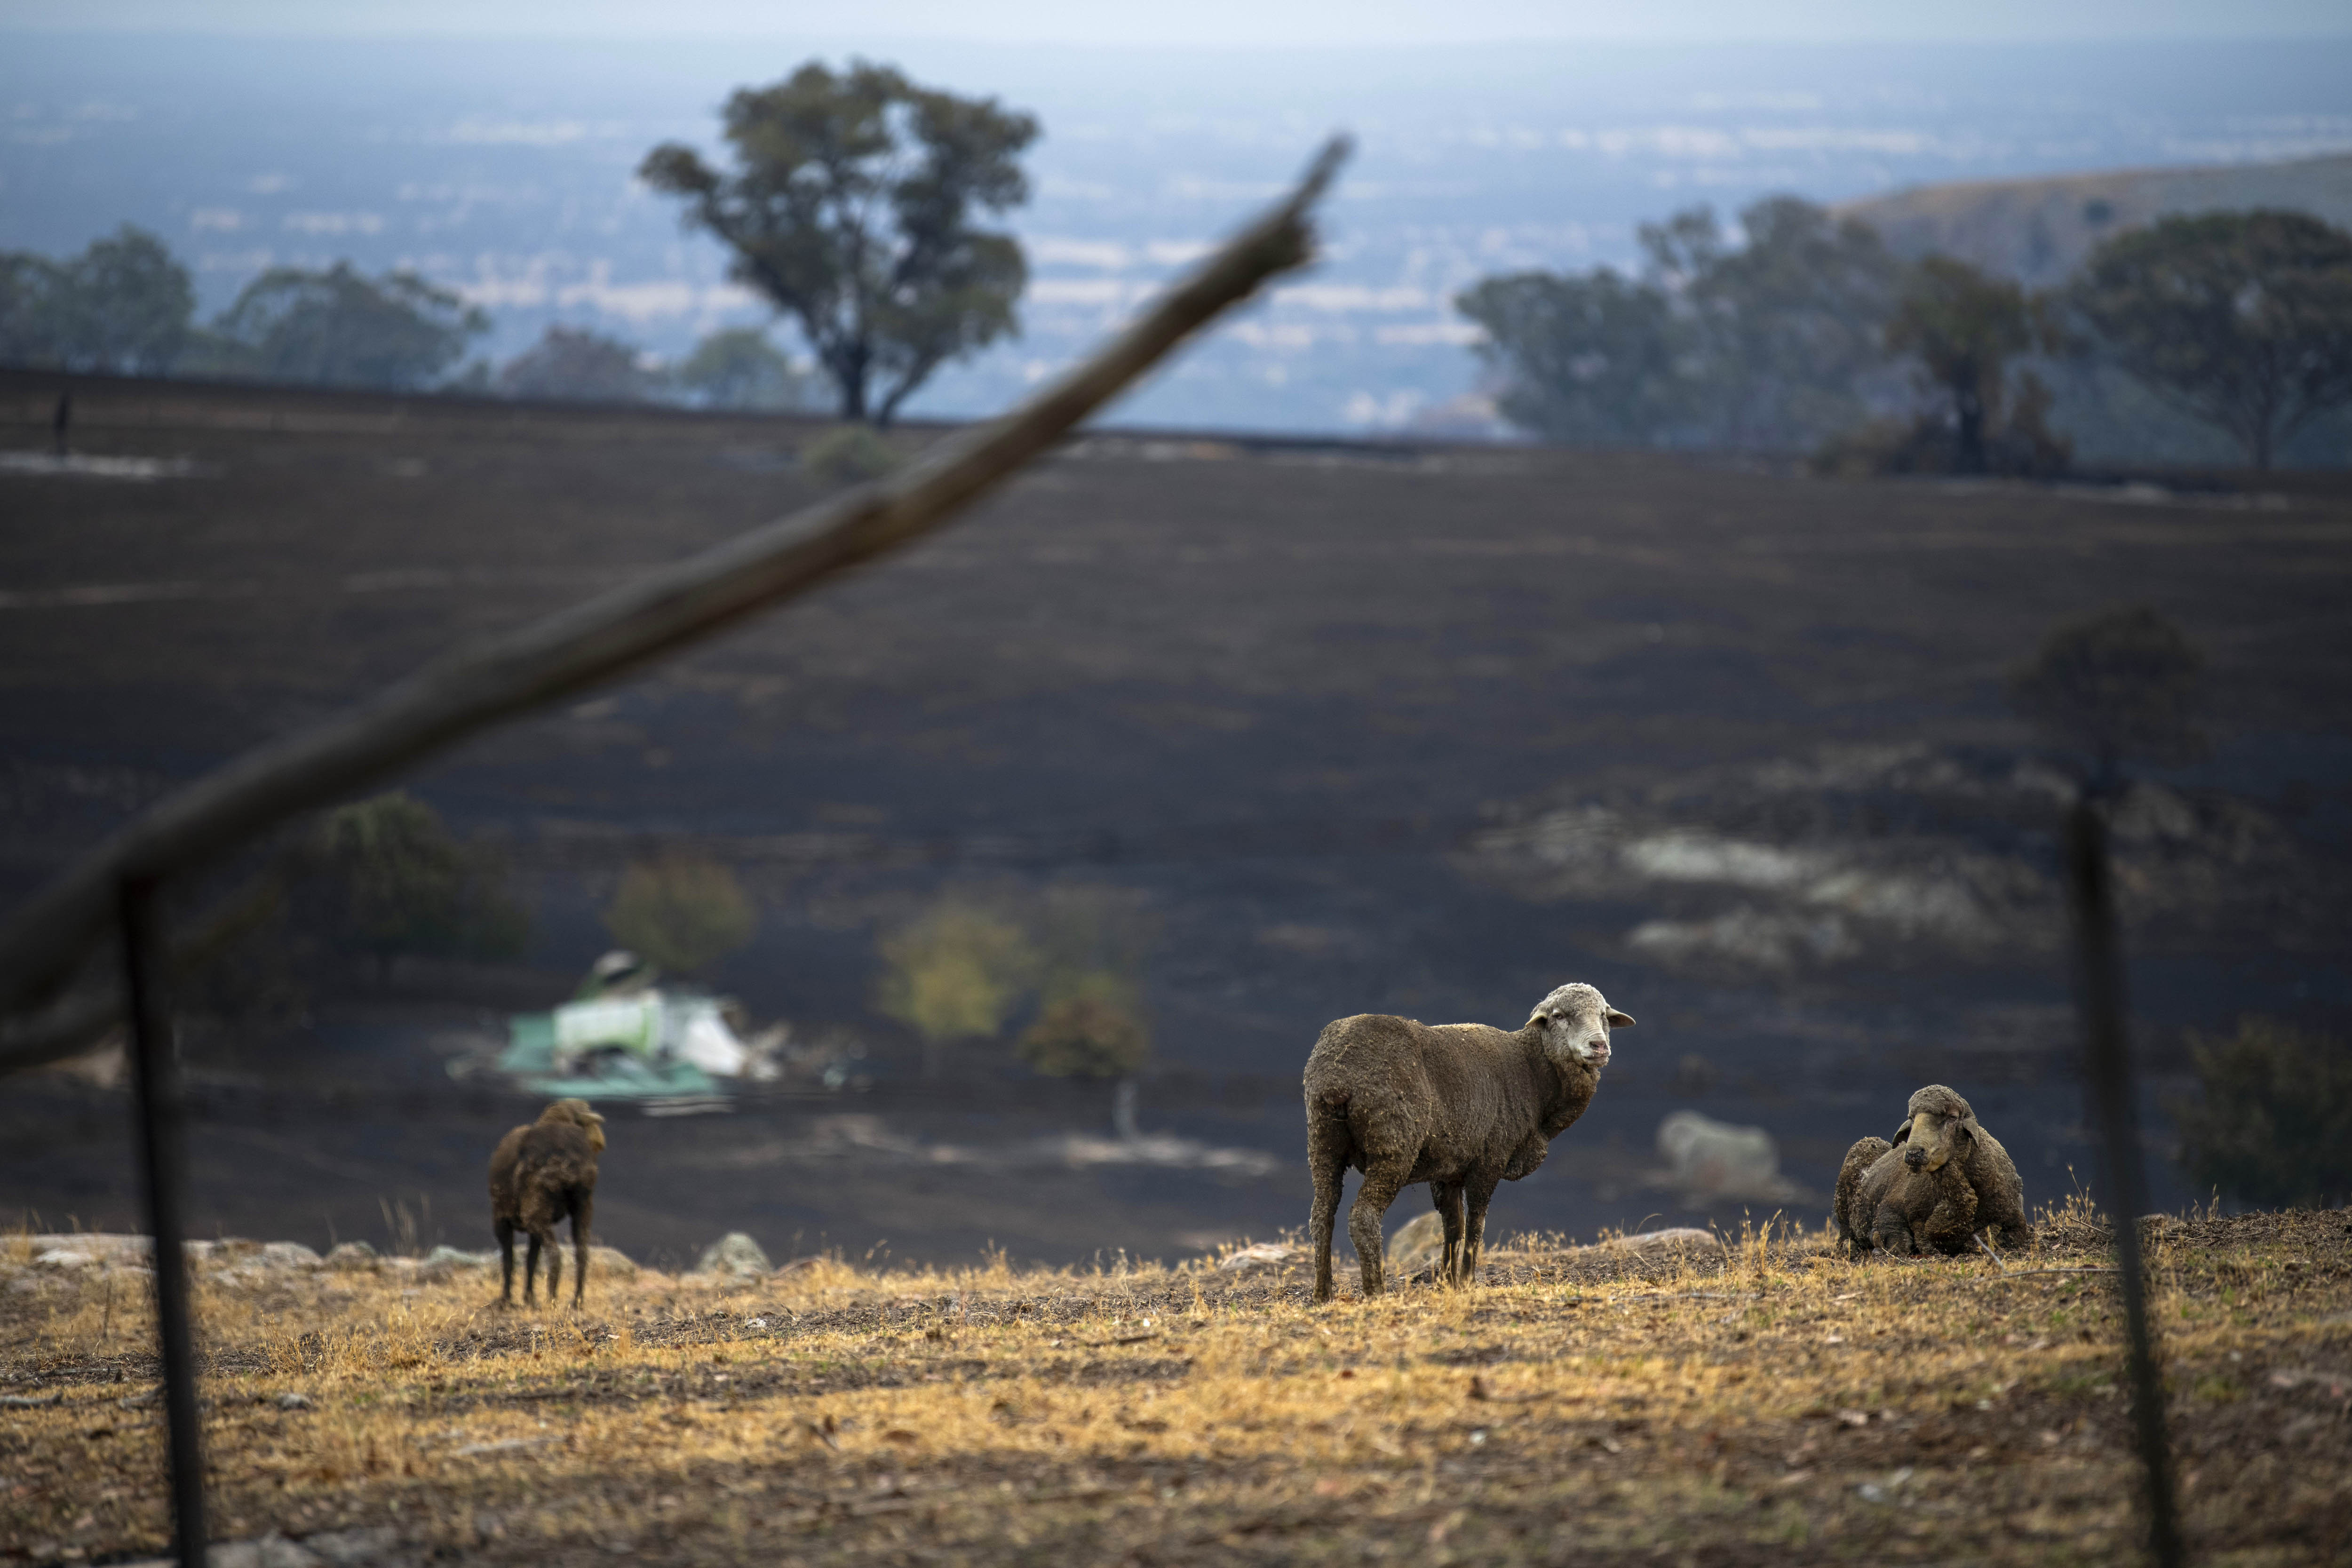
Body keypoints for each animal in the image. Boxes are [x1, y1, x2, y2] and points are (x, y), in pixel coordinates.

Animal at [488, 1098, 605, 1307]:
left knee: (554, 1254)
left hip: (534, 1214)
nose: (600, 1141)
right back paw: (577, 1300)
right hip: (583, 1207)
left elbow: (510, 1260)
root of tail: (569, 1164)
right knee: (581, 1252)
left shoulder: (501, 1219)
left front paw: (507, 1299)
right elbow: (531, 1259)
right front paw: (528, 1298)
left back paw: (550, 1298)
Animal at [1304, 981, 1632, 1302]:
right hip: (1392, 1145)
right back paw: (1376, 1292)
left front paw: (1446, 1283)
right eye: (1559, 1016)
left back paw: (1323, 1294)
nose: (1599, 1046)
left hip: (1323, 1144)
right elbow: (1476, 1221)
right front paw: (1467, 1281)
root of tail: (1338, 1076)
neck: (1532, 1073)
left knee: (1321, 1216)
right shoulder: (1491, 1157)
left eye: (1603, 1015)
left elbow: (1453, 1225)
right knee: (1364, 1216)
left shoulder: (1448, 1169)